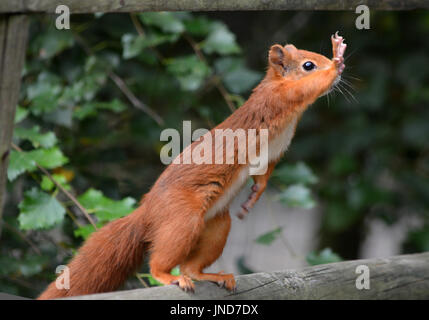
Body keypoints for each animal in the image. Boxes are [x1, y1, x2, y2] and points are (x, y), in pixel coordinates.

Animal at [36, 31, 344, 298]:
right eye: (308, 65)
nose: (335, 70)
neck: (293, 114)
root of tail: (147, 211)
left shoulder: (272, 152)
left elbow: (263, 175)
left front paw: (254, 196)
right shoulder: (276, 100)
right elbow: (302, 88)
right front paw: (337, 60)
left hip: (216, 227)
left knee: (191, 266)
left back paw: (211, 275)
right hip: (183, 219)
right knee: (161, 261)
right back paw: (167, 276)